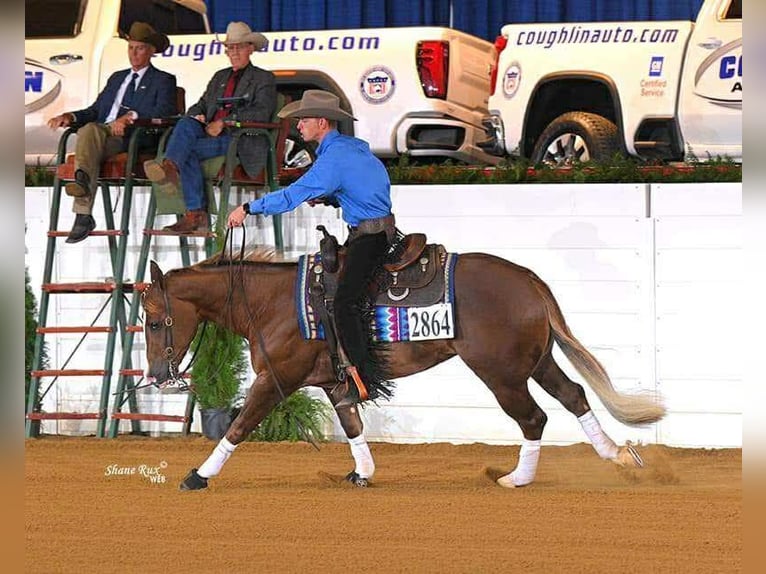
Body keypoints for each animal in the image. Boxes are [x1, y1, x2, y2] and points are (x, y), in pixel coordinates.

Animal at [142, 248, 665, 491]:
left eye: (151, 319)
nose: (158, 376)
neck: (272, 302)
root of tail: (528, 279)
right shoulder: (333, 382)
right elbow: (352, 425)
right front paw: (362, 473)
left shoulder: (277, 379)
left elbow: (240, 426)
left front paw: (197, 476)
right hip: (536, 361)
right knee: (574, 395)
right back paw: (618, 456)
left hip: (501, 373)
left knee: (534, 418)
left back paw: (516, 479)